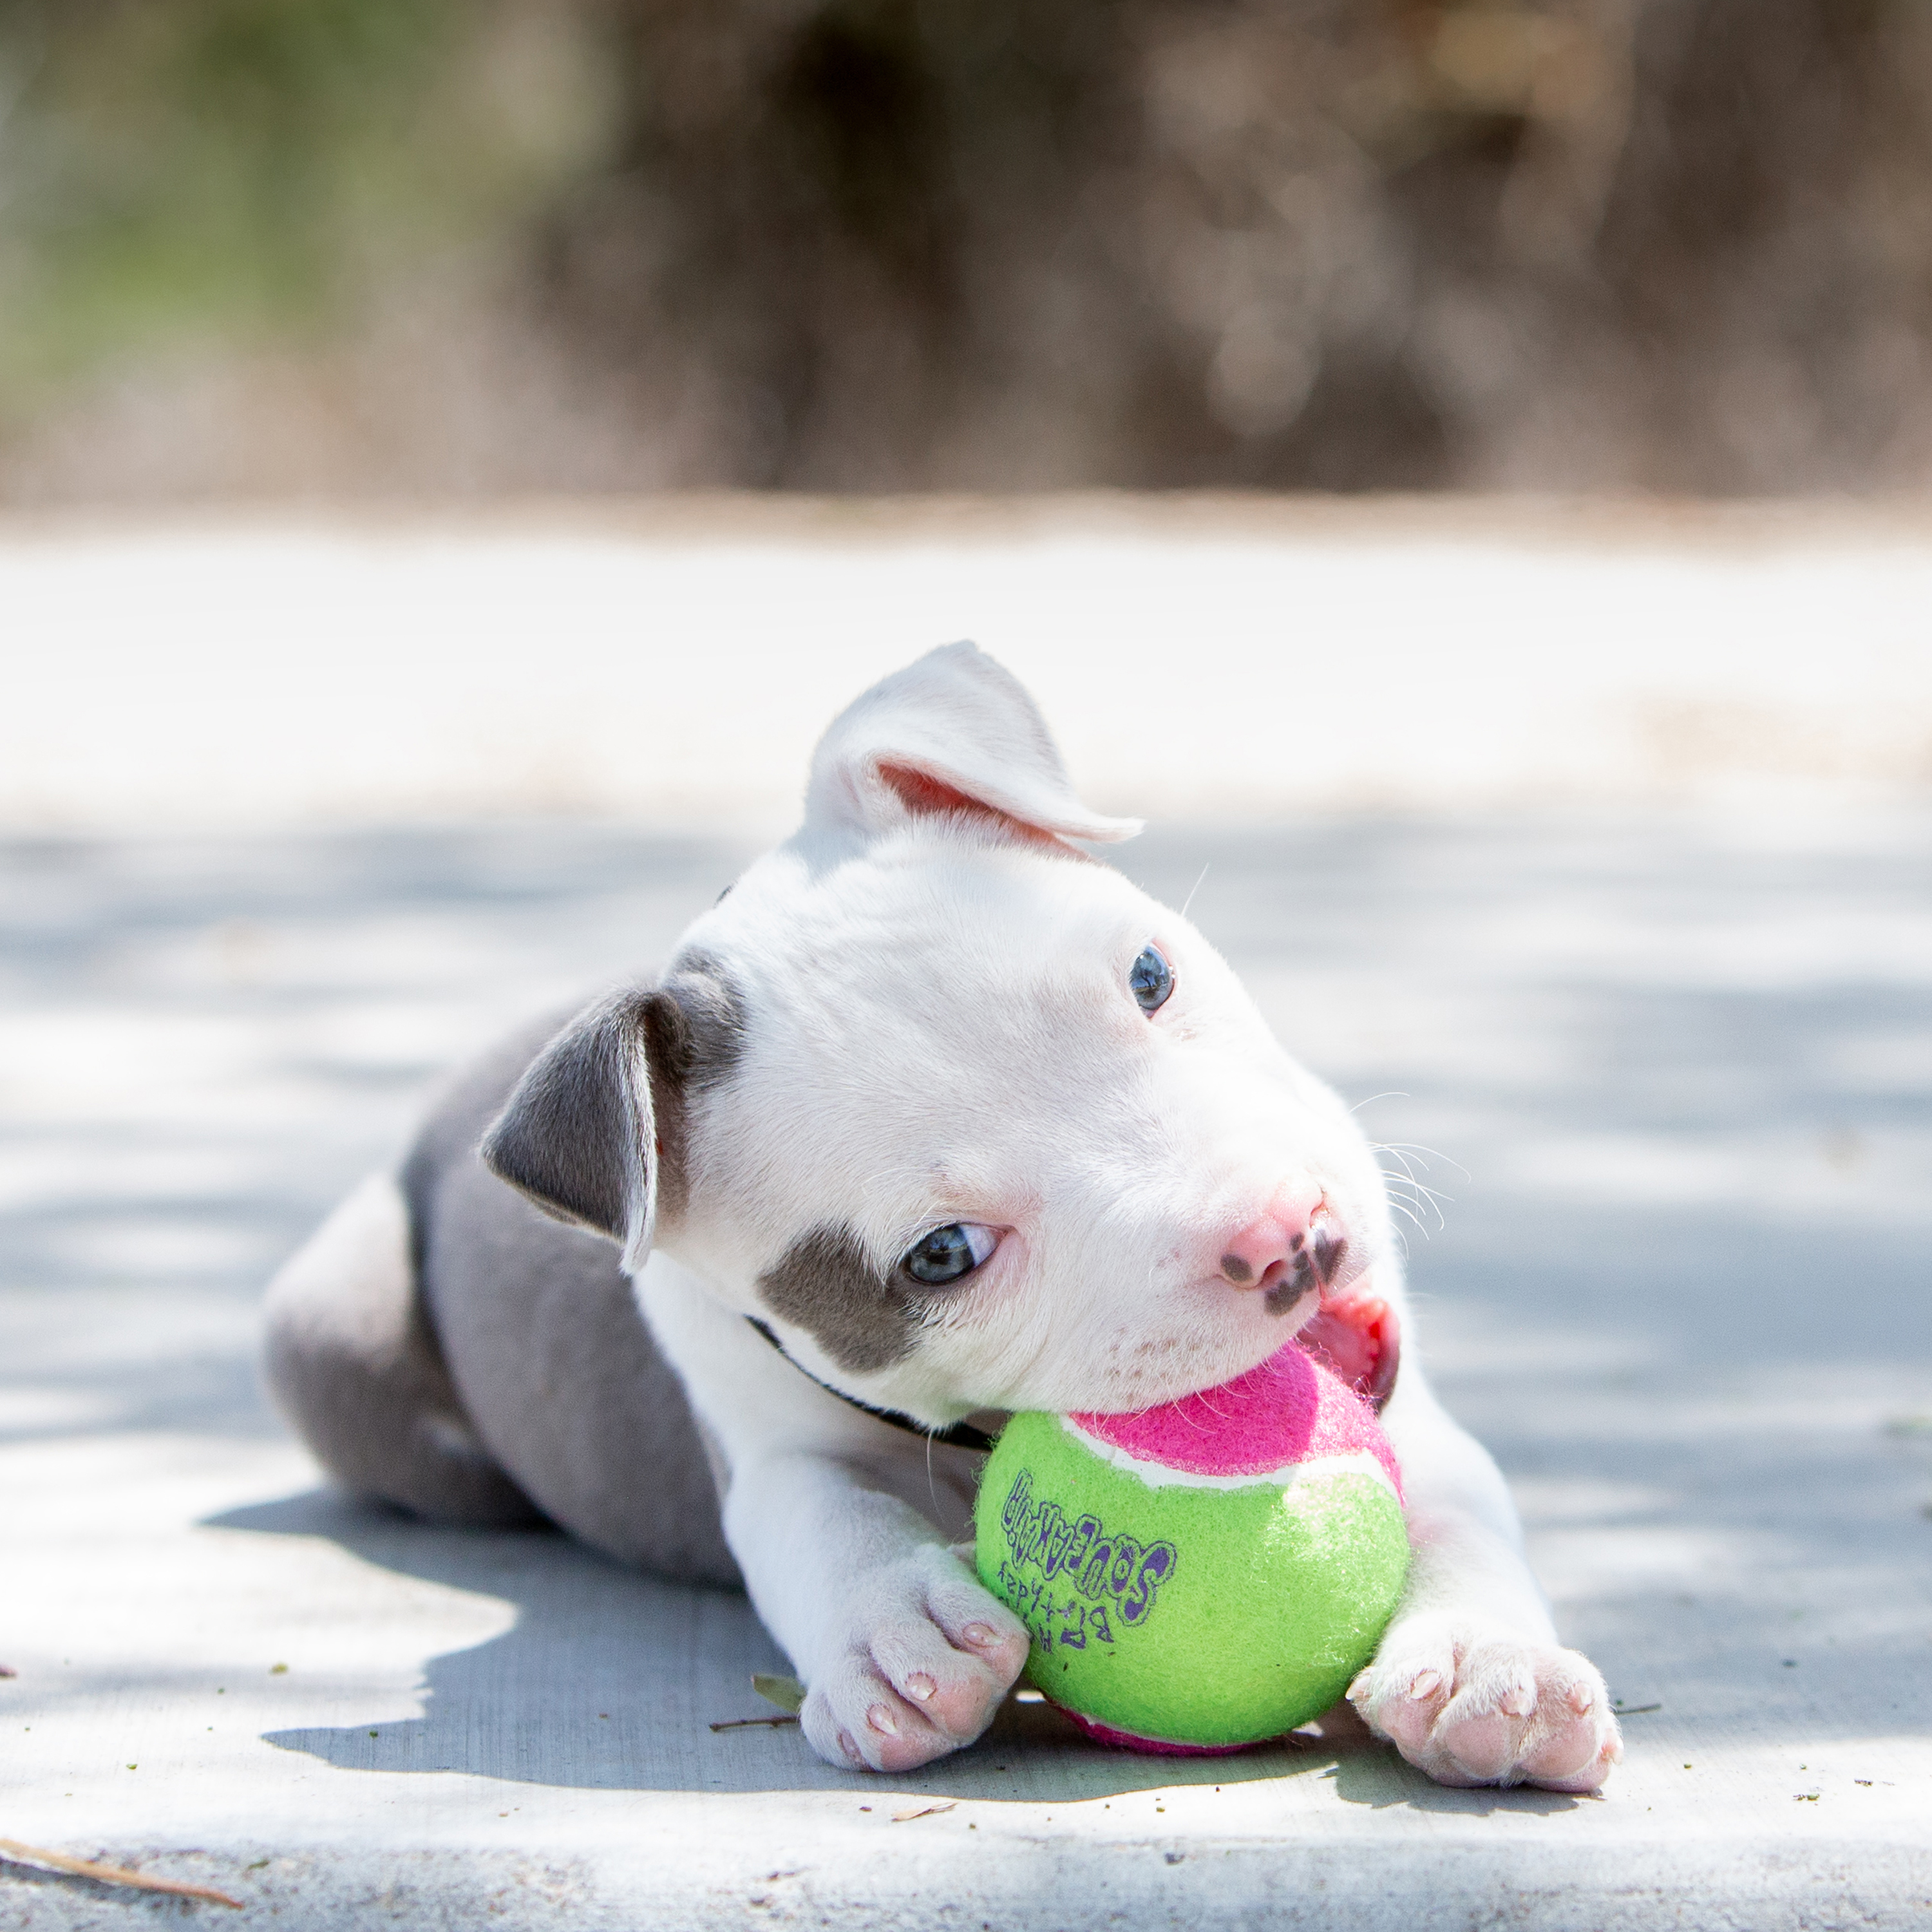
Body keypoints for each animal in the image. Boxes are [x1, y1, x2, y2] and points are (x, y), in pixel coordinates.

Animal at [265, 649, 1623, 1793]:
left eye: (1150, 976)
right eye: (942, 1258)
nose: (1288, 1232)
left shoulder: (1419, 1425)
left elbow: (1461, 1516)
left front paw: (1490, 1667)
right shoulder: (761, 1447)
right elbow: (822, 1513)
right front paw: (893, 1629)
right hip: (325, 1328)